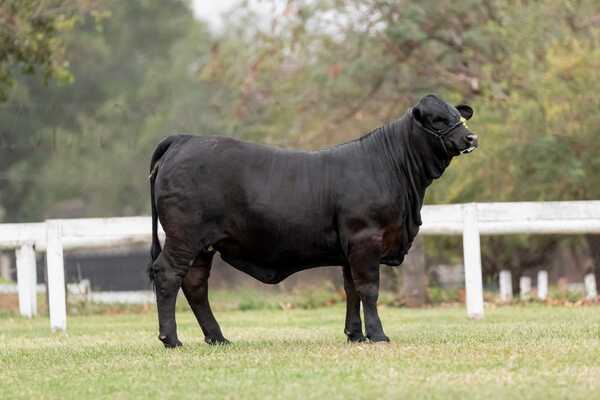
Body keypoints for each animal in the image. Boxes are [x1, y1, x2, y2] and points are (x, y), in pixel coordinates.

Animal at [149, 94, 478, 346]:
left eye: (457, 115)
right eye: (437, 119)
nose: (471, 137)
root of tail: (184, 139)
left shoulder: (350, 249)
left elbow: (351, 290)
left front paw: (355, 335)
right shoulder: (365, 239)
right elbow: (369, 288)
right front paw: (377, 335)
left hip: (204, 245)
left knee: (195, 284)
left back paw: (217, 338)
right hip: (184, 237)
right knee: (167, 274)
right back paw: (171, 339)